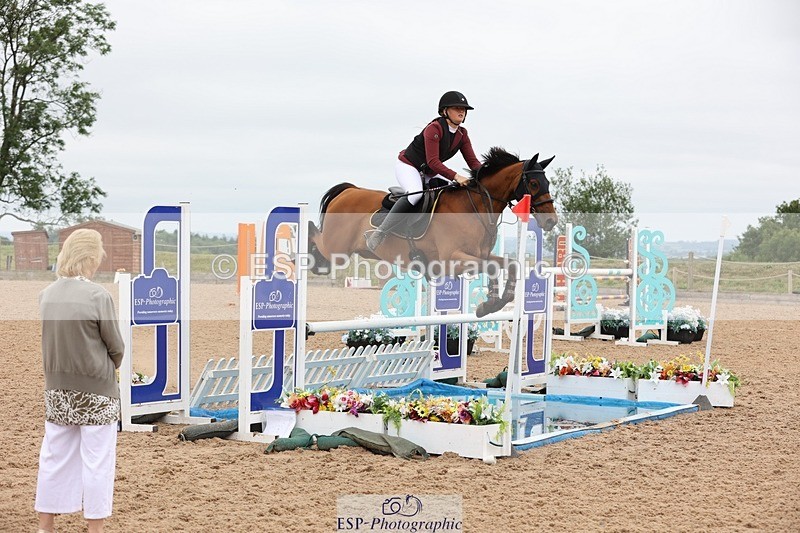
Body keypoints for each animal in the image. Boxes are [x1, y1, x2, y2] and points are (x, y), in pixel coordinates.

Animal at [307, 147, 558, 317]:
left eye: (547, 182)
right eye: (534, 184)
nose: (551, 221)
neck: (474, 205)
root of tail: (349, 190)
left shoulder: (481, 256)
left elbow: (509, 265)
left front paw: (495, 302)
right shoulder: (452, 260)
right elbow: (494, 268)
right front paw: (489, 304)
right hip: (337, 248)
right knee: (317, 240)